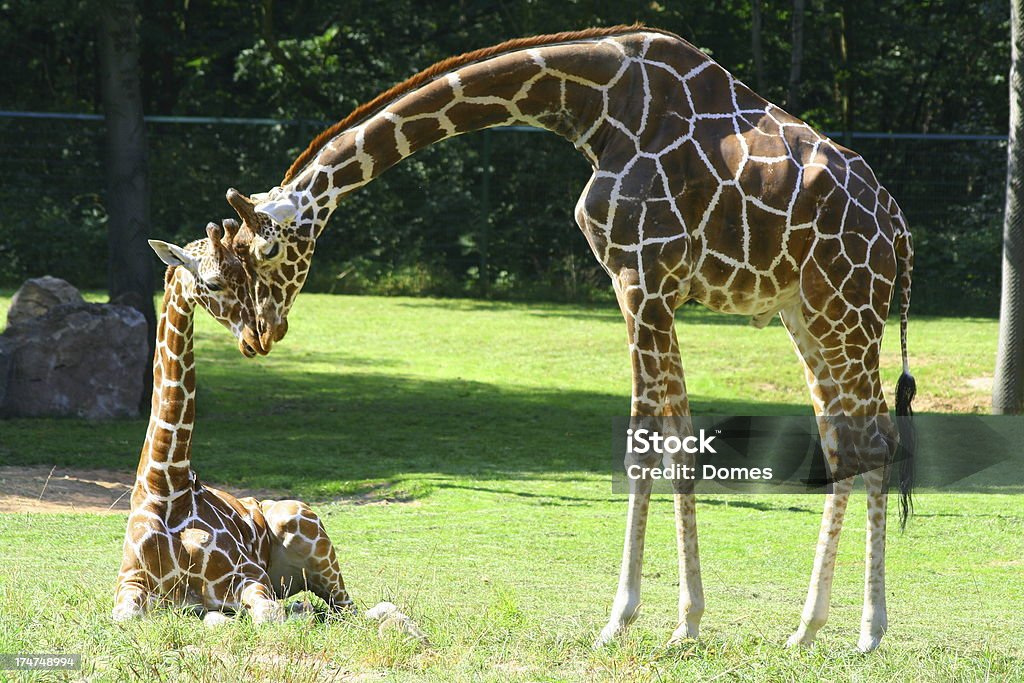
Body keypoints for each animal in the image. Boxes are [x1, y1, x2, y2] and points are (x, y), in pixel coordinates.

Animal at [111, 224, 352, 626]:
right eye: (213, 282)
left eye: (248, 276)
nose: (258, 336)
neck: (166, 488)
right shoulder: (130, 581)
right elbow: (127, 616)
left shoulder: (248, 575)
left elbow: (268, 615)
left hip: (308, 537)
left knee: (347, 608)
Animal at [205, 22, 913, 651]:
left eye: (265, 252)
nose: (258, 336)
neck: (598, 106)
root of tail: (898, 228)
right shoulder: (656, 289)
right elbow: (680, 443)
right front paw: (687, 624)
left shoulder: (640, 278)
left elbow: (645, 447)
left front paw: (619, 622)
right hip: (808, 315)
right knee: (844, 443)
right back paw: (807, 631)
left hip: (849, 310)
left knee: (877, 441)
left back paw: (870, 634)